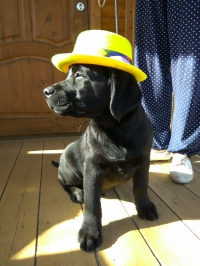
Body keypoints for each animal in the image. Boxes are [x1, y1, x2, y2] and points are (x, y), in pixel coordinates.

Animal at [43, 64, 158, 251]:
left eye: (79, 75)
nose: (45, 91)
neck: (116, 128)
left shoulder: (143, 160)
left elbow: (141, 187)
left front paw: (145, 207)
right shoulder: (93, 167)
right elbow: (92, 203)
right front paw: (90, 232)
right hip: (70, 169)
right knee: (62, 180)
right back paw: (76, 192)